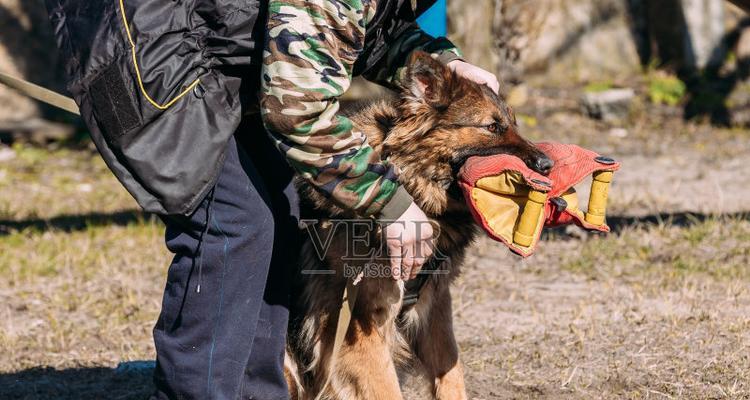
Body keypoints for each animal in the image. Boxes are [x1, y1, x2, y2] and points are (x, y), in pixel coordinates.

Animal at [284, 51, 556, 398]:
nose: (548, 165)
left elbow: (452, 375)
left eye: (513, 124)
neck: (410, 182)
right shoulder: (357, 327)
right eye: (491, 126)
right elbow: (387, 389)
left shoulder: (435, 304)